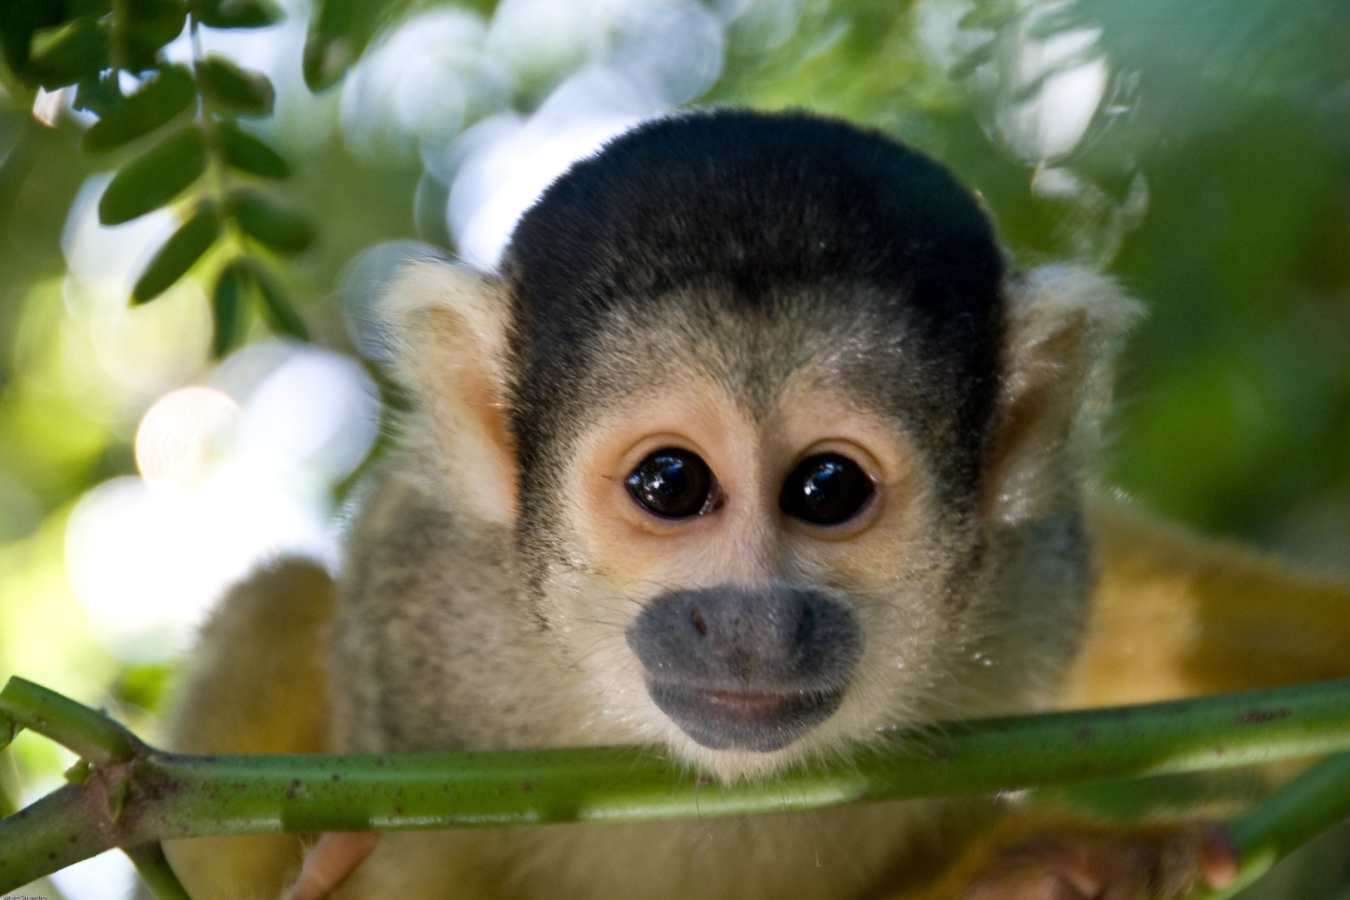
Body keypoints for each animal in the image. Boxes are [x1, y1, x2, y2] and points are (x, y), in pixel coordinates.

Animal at [156, 109, 1350, 900]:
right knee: (279, 599)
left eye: (829, 489)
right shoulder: (419, 629)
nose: (750, 624)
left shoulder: (1037, 573)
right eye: (671, 483)